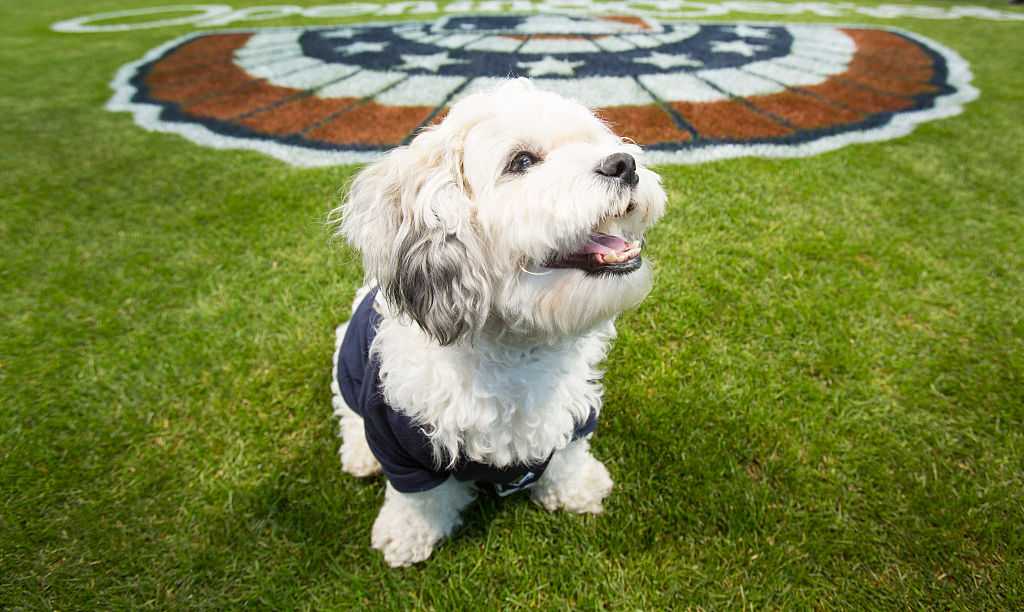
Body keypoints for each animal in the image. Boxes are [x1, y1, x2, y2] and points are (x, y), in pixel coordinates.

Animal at [327, 79, 663, 569]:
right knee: (348, 418)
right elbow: (418, 498)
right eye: (521, 162)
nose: (625, 163)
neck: (516, 348)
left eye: (592, 141)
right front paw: (407, 534)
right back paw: (358, 457)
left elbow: (569, 452)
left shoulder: (575, 409)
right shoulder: (397, 439)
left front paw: (578, 488)